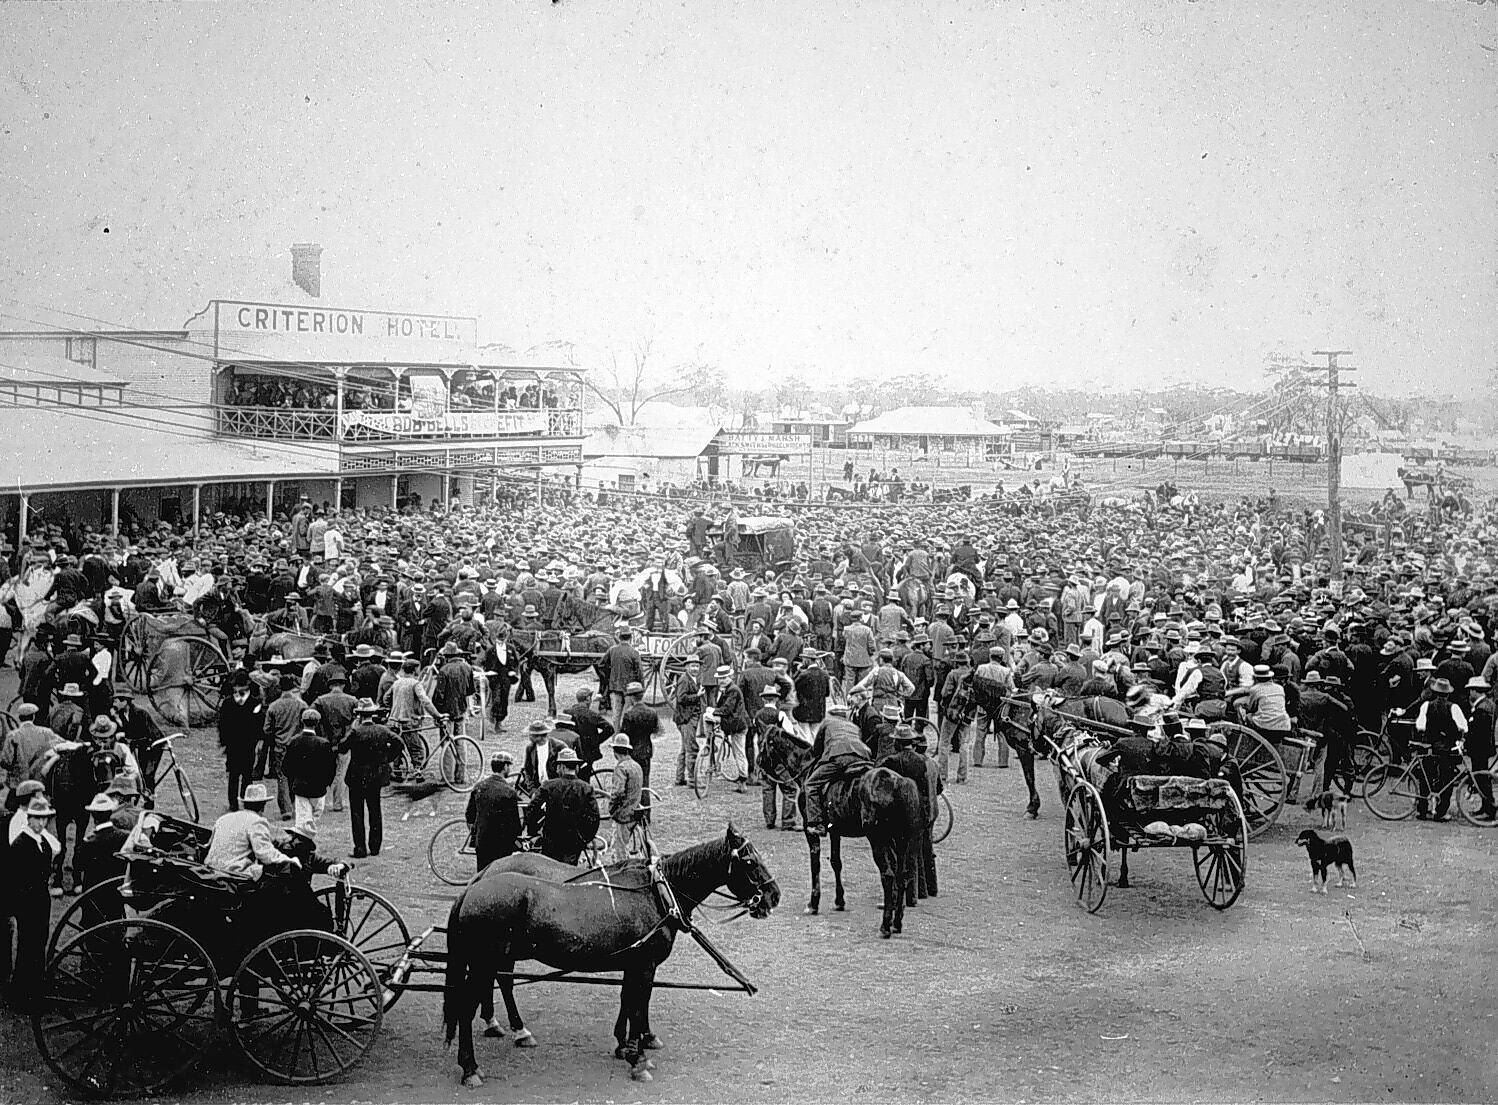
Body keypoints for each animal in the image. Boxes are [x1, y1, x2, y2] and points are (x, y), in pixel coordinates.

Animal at [440, 820, 772, 1078]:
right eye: (749, 862)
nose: (773, 896)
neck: (656, 893)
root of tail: (474, 887)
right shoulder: (645, 965)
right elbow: (638, 1006)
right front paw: (638, 1058)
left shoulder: (633, 963)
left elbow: (629, 1000)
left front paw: (624, 1045)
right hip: (485, 961)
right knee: (467, 1006)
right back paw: (471, 1066)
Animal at [760, 727, 922, 934]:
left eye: (762, 743)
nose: (759, 764)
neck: (807, 766)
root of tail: (897, 783)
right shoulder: (835, 831)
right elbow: (836, 863)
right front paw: (839, 901)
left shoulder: (810, 829)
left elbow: (815, 865)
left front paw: (813, 903)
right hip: (902, 841)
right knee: (902, 876)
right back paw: (897, 922)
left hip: (879, 841)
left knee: (888, 876)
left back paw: (885, 925)